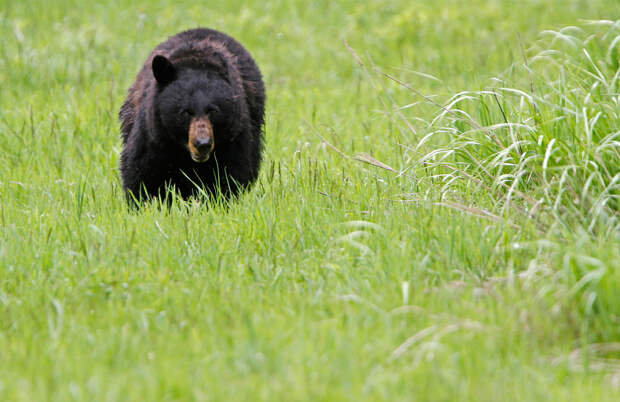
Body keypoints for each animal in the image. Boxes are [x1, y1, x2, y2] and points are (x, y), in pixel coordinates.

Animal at [120, 27, 266, 204]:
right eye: (185, 112)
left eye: (213, 110)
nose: (202, 143)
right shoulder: (154, 135)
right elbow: (142, 174)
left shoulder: (234, 136)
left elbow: (230, 176)